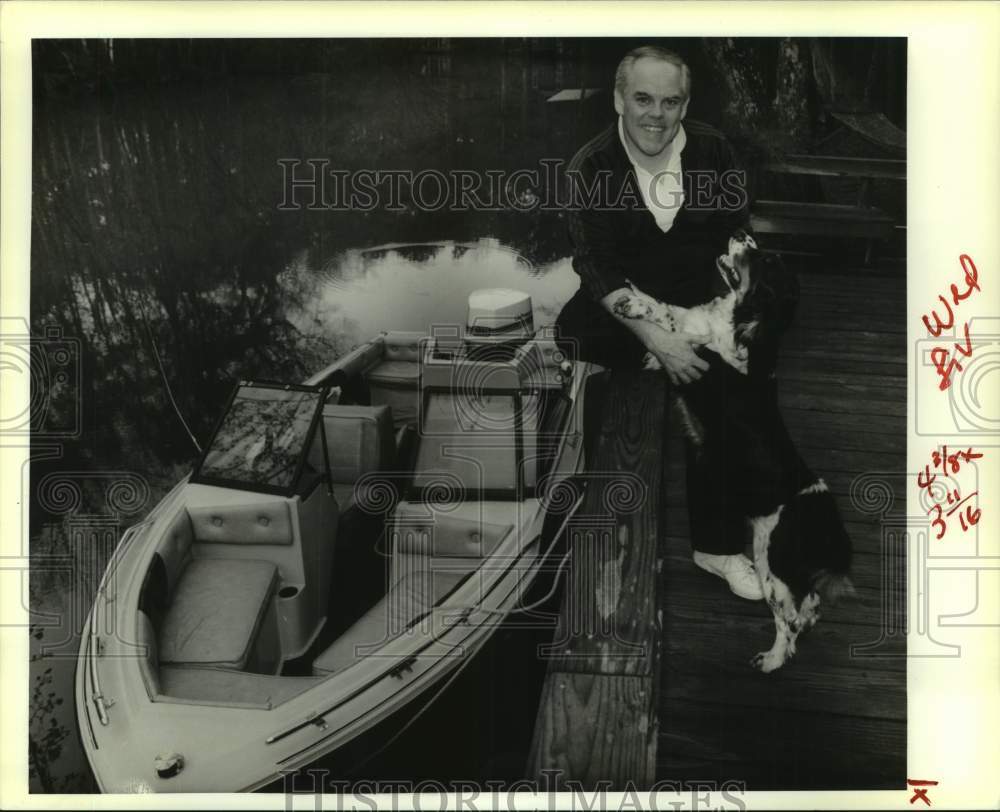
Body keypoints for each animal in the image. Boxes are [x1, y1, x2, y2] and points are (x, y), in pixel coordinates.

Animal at [620, 233, 856, 672]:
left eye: (764, 260)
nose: (741, 235)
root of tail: (829, 527)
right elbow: (671, 311)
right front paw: (634, 300)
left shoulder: (700, 364)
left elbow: (675, 323)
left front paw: (639, 304)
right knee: (809, 605)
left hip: (773, 563)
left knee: (789, 622)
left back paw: (771, 660)